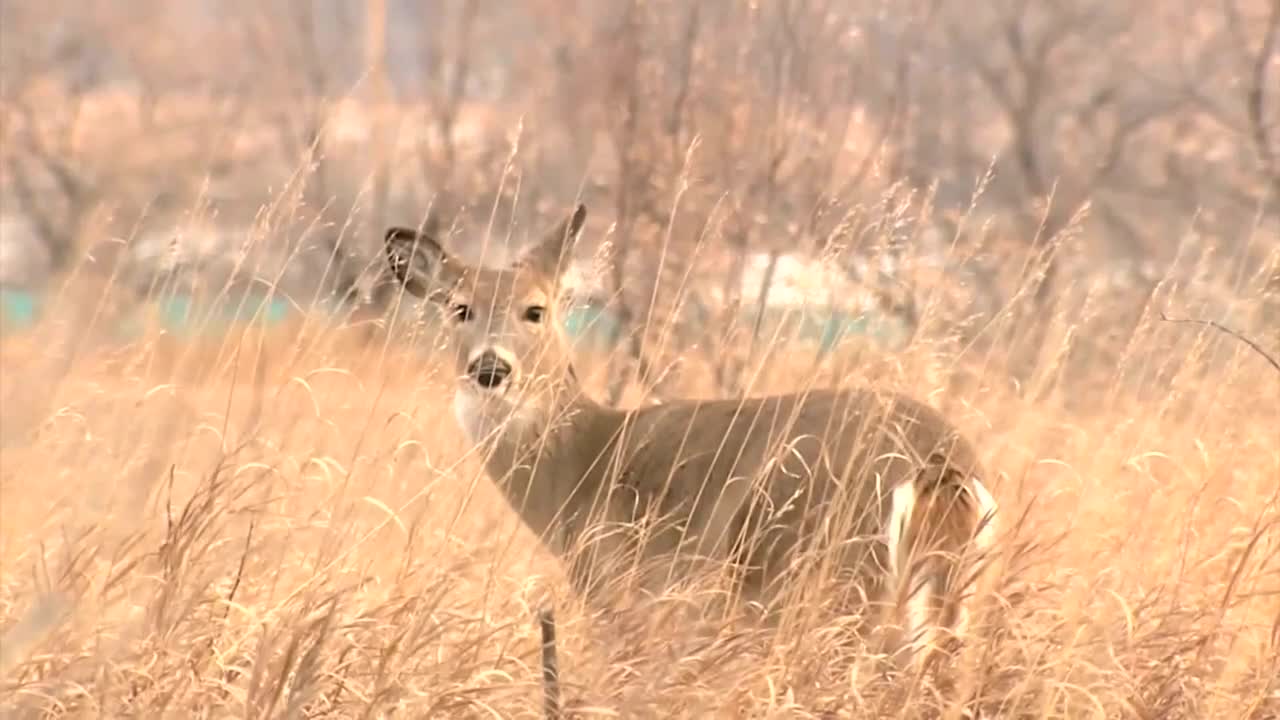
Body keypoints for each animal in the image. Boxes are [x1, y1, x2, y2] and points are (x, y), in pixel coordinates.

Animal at [378, 203, 998, 661]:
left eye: (535, 310)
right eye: (460, 309)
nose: (491, 367)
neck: (581, 467)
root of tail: (940, 461)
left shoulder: (624, 597)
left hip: (833, 577)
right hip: (951, 592)